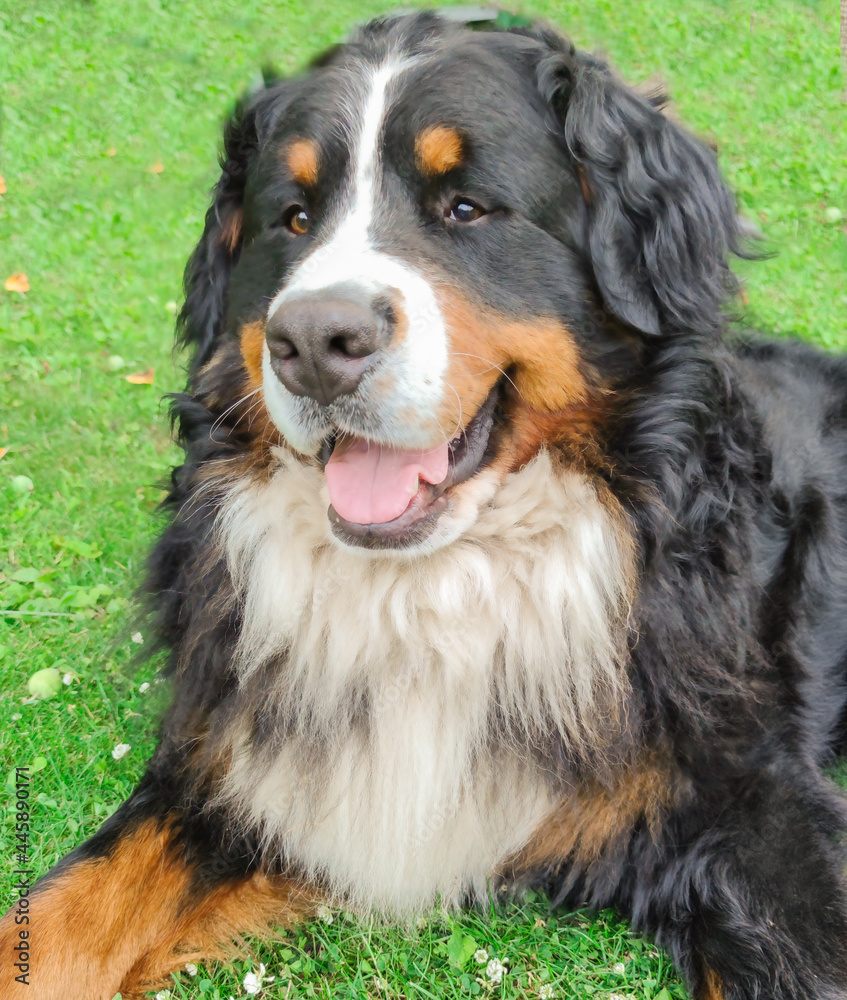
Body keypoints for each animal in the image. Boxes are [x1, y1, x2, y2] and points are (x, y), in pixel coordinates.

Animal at [1, 9, 847, 1000]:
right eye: (292, 219)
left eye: (466, 208)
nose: (314, 342)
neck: (428, 590)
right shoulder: (230, 757)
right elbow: (67, 908)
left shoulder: (751, 797)